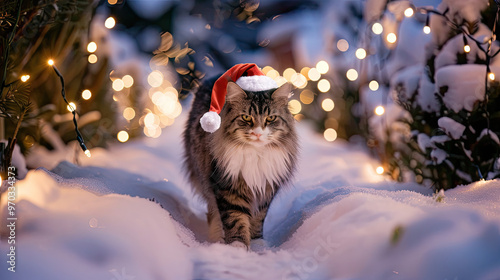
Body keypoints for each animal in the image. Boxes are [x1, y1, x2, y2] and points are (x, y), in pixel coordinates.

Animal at [185, 75, 298, 249]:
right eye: (246, 117)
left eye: (271, 118)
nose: (258, 133)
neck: (256, 155)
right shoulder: (228, 187)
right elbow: (235, 219)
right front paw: (238, 246)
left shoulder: (265, 188)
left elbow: (258, 219)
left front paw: (257, 243)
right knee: (212, 212)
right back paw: (216, 238)